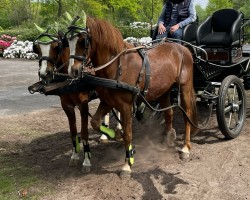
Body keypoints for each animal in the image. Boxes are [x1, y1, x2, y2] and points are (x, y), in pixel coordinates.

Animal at [67, 15, 198, 175]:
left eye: (83, 41)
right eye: (67, 42)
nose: (72, 71)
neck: (118, 65)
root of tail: (183, 48)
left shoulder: (125, 105)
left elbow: (128, 134)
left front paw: (127, 164)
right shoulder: (107, 101)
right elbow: (96, 122)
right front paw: (114, 134)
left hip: (185, 87)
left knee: (187, 115)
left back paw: (185, 148)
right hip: (164, 90)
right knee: (169, 113)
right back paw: (167, 138)